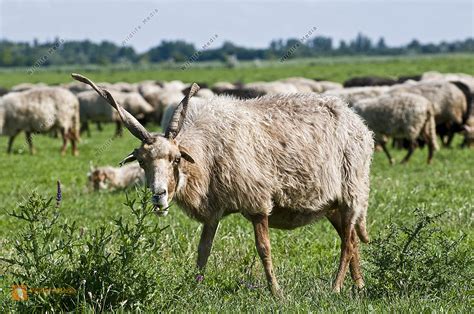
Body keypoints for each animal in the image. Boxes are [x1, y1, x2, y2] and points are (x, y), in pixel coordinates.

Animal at [72, 73, 374, 296]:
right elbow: (203, 250)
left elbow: (264, 248)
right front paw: (194, 289)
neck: (206, 154)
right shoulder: (213, 209)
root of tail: (357, 121)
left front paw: (276, 292)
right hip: (332, 204)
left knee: (347, 244)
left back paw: (336, 288)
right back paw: (359, 287)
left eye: (175, 159)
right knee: (352, 241)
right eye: (142, 162)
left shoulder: (256, 201)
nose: (158, 195)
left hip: (352, 191)